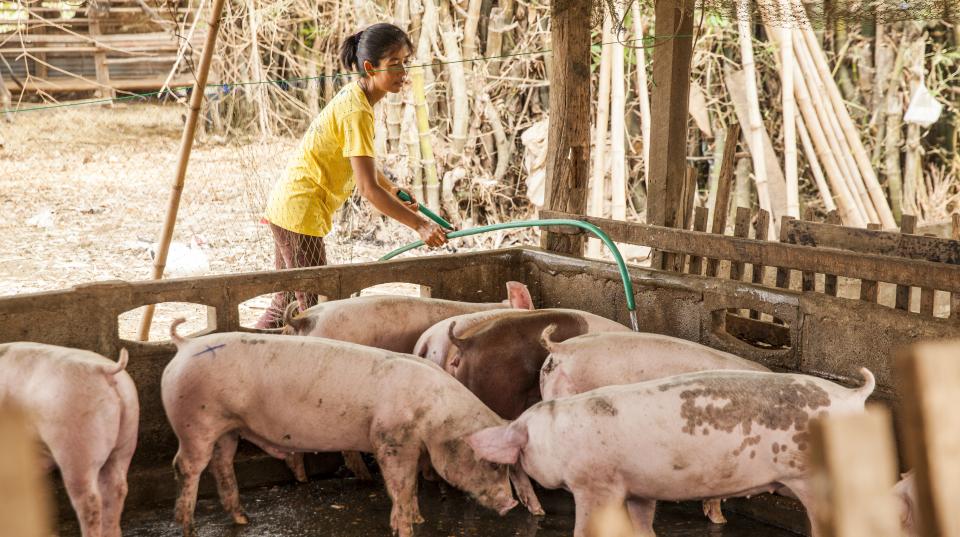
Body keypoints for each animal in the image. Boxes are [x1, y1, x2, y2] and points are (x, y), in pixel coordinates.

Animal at [464, 368, 876, 536]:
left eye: (520, 439)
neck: (555, 435)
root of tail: (853, 395)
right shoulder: (638, 489)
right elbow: (642, 525)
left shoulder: (596, 484)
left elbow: (587, 527)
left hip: (820, 478)